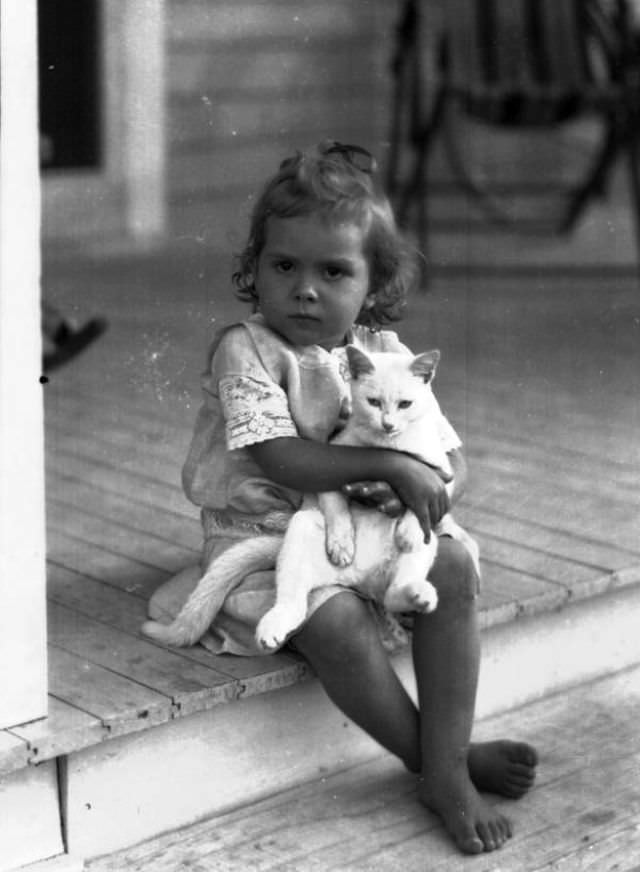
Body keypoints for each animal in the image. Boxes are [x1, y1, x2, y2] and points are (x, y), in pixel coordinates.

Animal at [141, 344, 480, 652]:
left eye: (405, 404)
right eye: (373, 402)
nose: (388, 424)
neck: (388, 448)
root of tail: (360, 581)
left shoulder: (440, 474)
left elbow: (420, 501)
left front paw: (408, 532)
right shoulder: (333, 470)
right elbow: (339, 510)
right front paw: (342, 545)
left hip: (426, 547)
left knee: (395, 591)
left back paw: (418, 594)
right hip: (302, 531)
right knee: (293, 603)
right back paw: (272, 630)